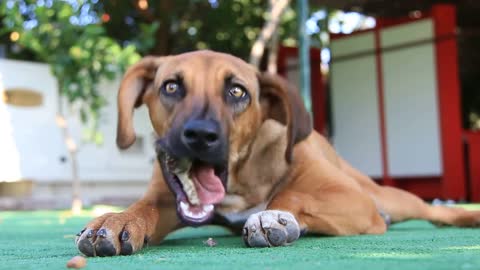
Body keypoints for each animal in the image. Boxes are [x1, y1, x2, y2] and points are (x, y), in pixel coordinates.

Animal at [75, 49, 480, 256]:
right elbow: (141, 208)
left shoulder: (351, 198)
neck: (240, 178)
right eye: (171, 87)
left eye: (237, 91)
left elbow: (293, 193)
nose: (201, 135)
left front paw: (274, 216)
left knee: (434, 210)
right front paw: (116, 219)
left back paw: (466, 216)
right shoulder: (164, 201)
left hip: (385, 196)